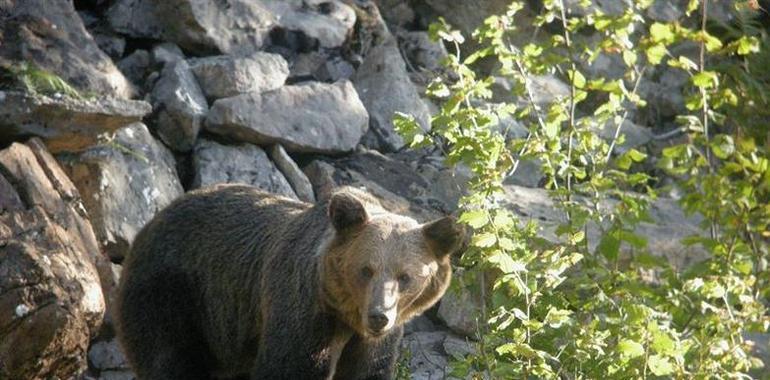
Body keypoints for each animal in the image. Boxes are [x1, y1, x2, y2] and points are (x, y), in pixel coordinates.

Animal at [115, 183, 462, 378]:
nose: (379, 316)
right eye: (366, 269)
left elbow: (368, 370)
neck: (345, 315)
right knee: (169, 358)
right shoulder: (302, 310)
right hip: (174, 294)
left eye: (405, 277)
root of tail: (152, 222)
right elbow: (289, 367)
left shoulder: (376, 342)